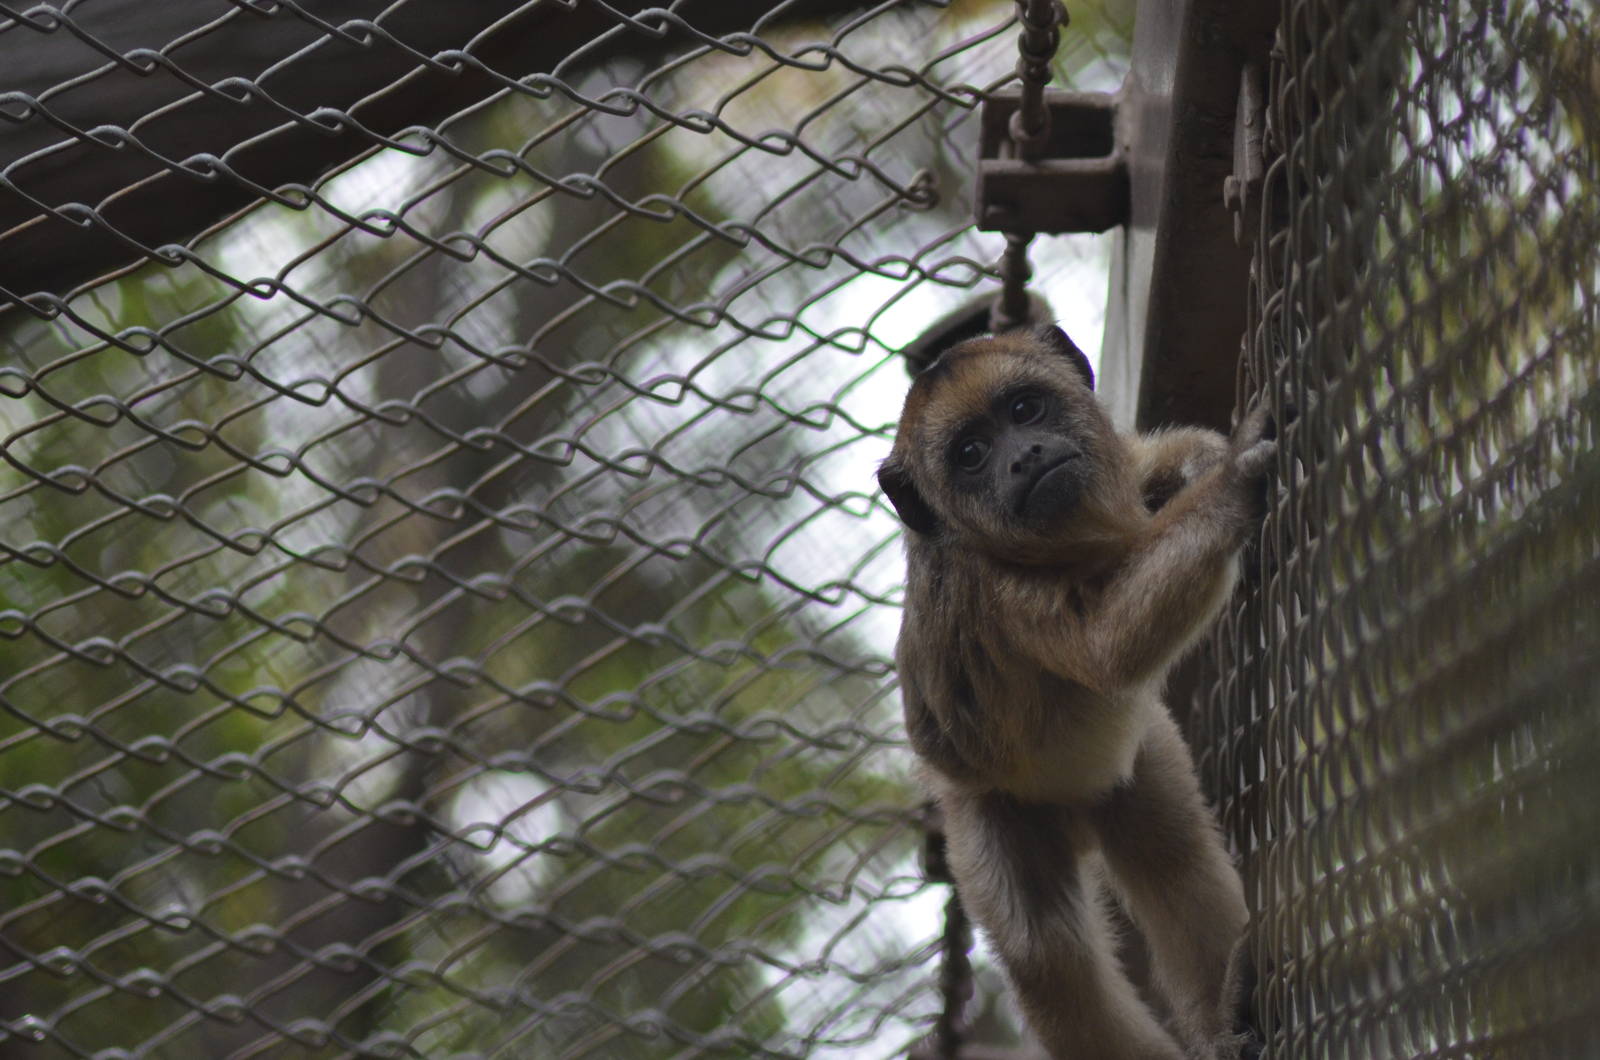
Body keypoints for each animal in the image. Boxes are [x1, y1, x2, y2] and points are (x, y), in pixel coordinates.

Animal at [878, 324, 1274, 1060]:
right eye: (971, 454)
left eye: (1025, 410)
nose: (1024, 456)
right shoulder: (992, 593)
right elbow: (1108, 648)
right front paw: (1237, 481)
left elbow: (1147, 461)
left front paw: (1209, 459)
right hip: (981, 802)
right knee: (1049, 959)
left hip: (1136, 758)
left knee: (1174, 855)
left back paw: (1229, 1008)